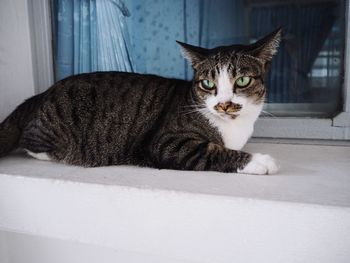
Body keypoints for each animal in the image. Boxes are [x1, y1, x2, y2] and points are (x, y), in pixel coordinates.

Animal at [0, 28, 282, 175]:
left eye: (242, 81)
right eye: (208, 84)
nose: (223, 104)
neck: (234, 127)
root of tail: (43, 93)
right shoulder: (166, 143)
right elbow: (212, 150)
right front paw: (259, 161)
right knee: (31, 142)